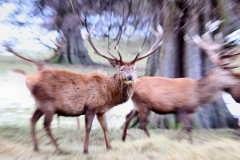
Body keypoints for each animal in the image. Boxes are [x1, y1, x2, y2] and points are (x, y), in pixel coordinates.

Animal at [4, 24, 163, 154]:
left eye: (134, 68)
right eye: (122, 69)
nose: (130, 77)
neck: (109, 95)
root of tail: (28, 79)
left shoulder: (101, 110)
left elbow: (105, 127)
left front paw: (109, 146)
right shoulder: (90, 106)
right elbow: (88, 127)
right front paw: (86, 149)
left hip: (40, 104)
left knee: (32, 119)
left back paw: (36, 147)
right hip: (48, 104)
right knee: (46, 124)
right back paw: (59, 148)